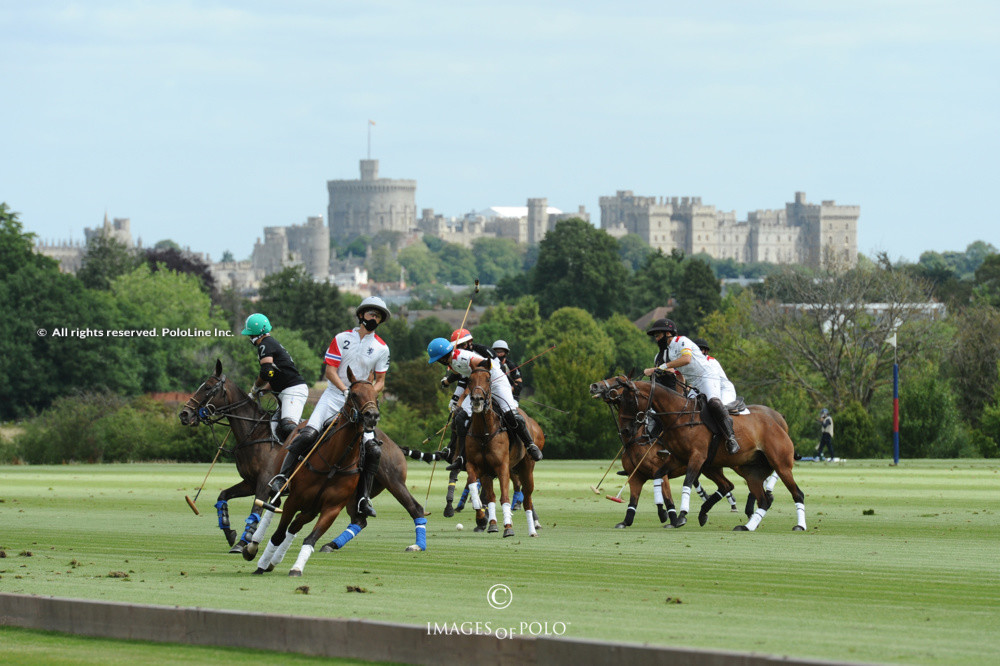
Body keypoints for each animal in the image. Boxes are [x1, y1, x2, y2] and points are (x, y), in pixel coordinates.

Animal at [256, 366, 380, 572]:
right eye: (353, 394)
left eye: (376, 395)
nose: (372, 415)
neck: (335, 462)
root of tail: (300, 423)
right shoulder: (294, 500)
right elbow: (278, 534)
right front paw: (259, 562)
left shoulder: (332, 508)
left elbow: (310, 539)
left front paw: (296, 569)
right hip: (284, 484)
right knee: (272, 506)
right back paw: (253, 545)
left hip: (311, 508)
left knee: (295, 527)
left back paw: (275, 560)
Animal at [464, 364, 544, 536]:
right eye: (470, 380)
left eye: (488, 379)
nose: (477, 399)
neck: (484, 432)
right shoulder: (477, 467)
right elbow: (478, 489)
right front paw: (483, 519)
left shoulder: (502, 467)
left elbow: (505, 497)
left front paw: (508, 527)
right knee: (492, 496)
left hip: (527, 469)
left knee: (527, 499)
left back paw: (532, 530)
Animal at [588, 374, 808, 528]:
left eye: (619, 382)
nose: (594, 386)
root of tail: (777, 420)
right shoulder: (660, 466)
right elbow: (645, 489)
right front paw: (628, 520)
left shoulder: (695, 457)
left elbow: (681, 486)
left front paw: (678, 517)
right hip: (733, 468)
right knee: (741, 490)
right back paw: (732, 519)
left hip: (778, 463)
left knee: (794, 493)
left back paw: (796, 524)